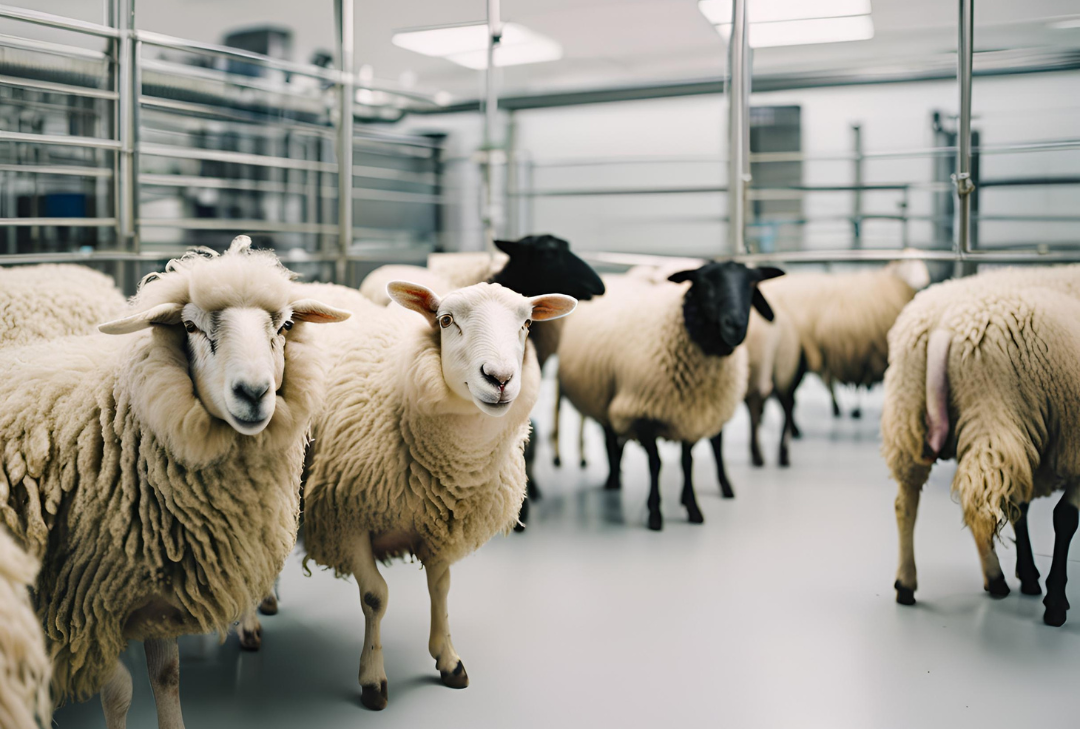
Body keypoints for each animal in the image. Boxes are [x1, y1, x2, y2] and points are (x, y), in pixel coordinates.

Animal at [0, 236, 350, 727]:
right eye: (189, 326)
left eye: (284, 326)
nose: (253, 392)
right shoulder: (86, 606)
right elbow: (120, 692)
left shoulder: (154, 591)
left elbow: (167, 677)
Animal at [299, 280, 576, 710]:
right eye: (446, 320)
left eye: (527, 323)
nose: (499, 378)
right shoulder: (345, 518)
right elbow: (375, 597)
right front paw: (372, 679)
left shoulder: (439, 523)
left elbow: (441, 589)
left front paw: (448, 659)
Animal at [557, 262, 783, 530]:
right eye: (704, 283)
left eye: (751, 283)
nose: (735, 325)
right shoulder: (641, 413)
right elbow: (656, 464)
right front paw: (655, 514)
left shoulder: (690, 413)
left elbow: (688, 462)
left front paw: (692, 508)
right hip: (603, 398)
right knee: (610, 440)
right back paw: (613, 480)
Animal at [882, 265, 1080, 626]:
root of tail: (944, 321)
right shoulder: (1074, 444)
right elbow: (1064, 519)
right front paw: (1055, 601)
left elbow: (1023, 509)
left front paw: (1031, 578)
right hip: (992, 406)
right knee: (979, 506)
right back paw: (996, 579)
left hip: (907, 413)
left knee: (907, 502)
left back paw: (906, 584)